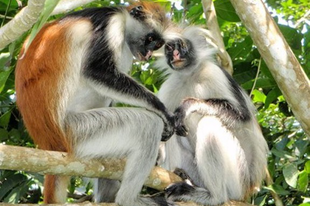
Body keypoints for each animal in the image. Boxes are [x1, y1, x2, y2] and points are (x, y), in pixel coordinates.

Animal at [15, 2, 177, 206]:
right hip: (78, 131)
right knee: (148, 125)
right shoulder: (112, 22)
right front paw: (162, 110)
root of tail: (51, 143)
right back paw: (127, 200)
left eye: (157, 44)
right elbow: (97, 70)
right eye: (149, 38)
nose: (148, 54)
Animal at [156, 26, 268, 205]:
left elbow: (242, 117)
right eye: (169, 48)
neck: (190, 75)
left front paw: (189, 105)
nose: (175, 55)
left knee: (210, 123)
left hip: (238, 179)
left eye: (182, 46)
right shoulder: (169, 86)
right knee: (173, 130)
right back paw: (182, 176)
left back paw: (214, 196)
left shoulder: (214, 72)